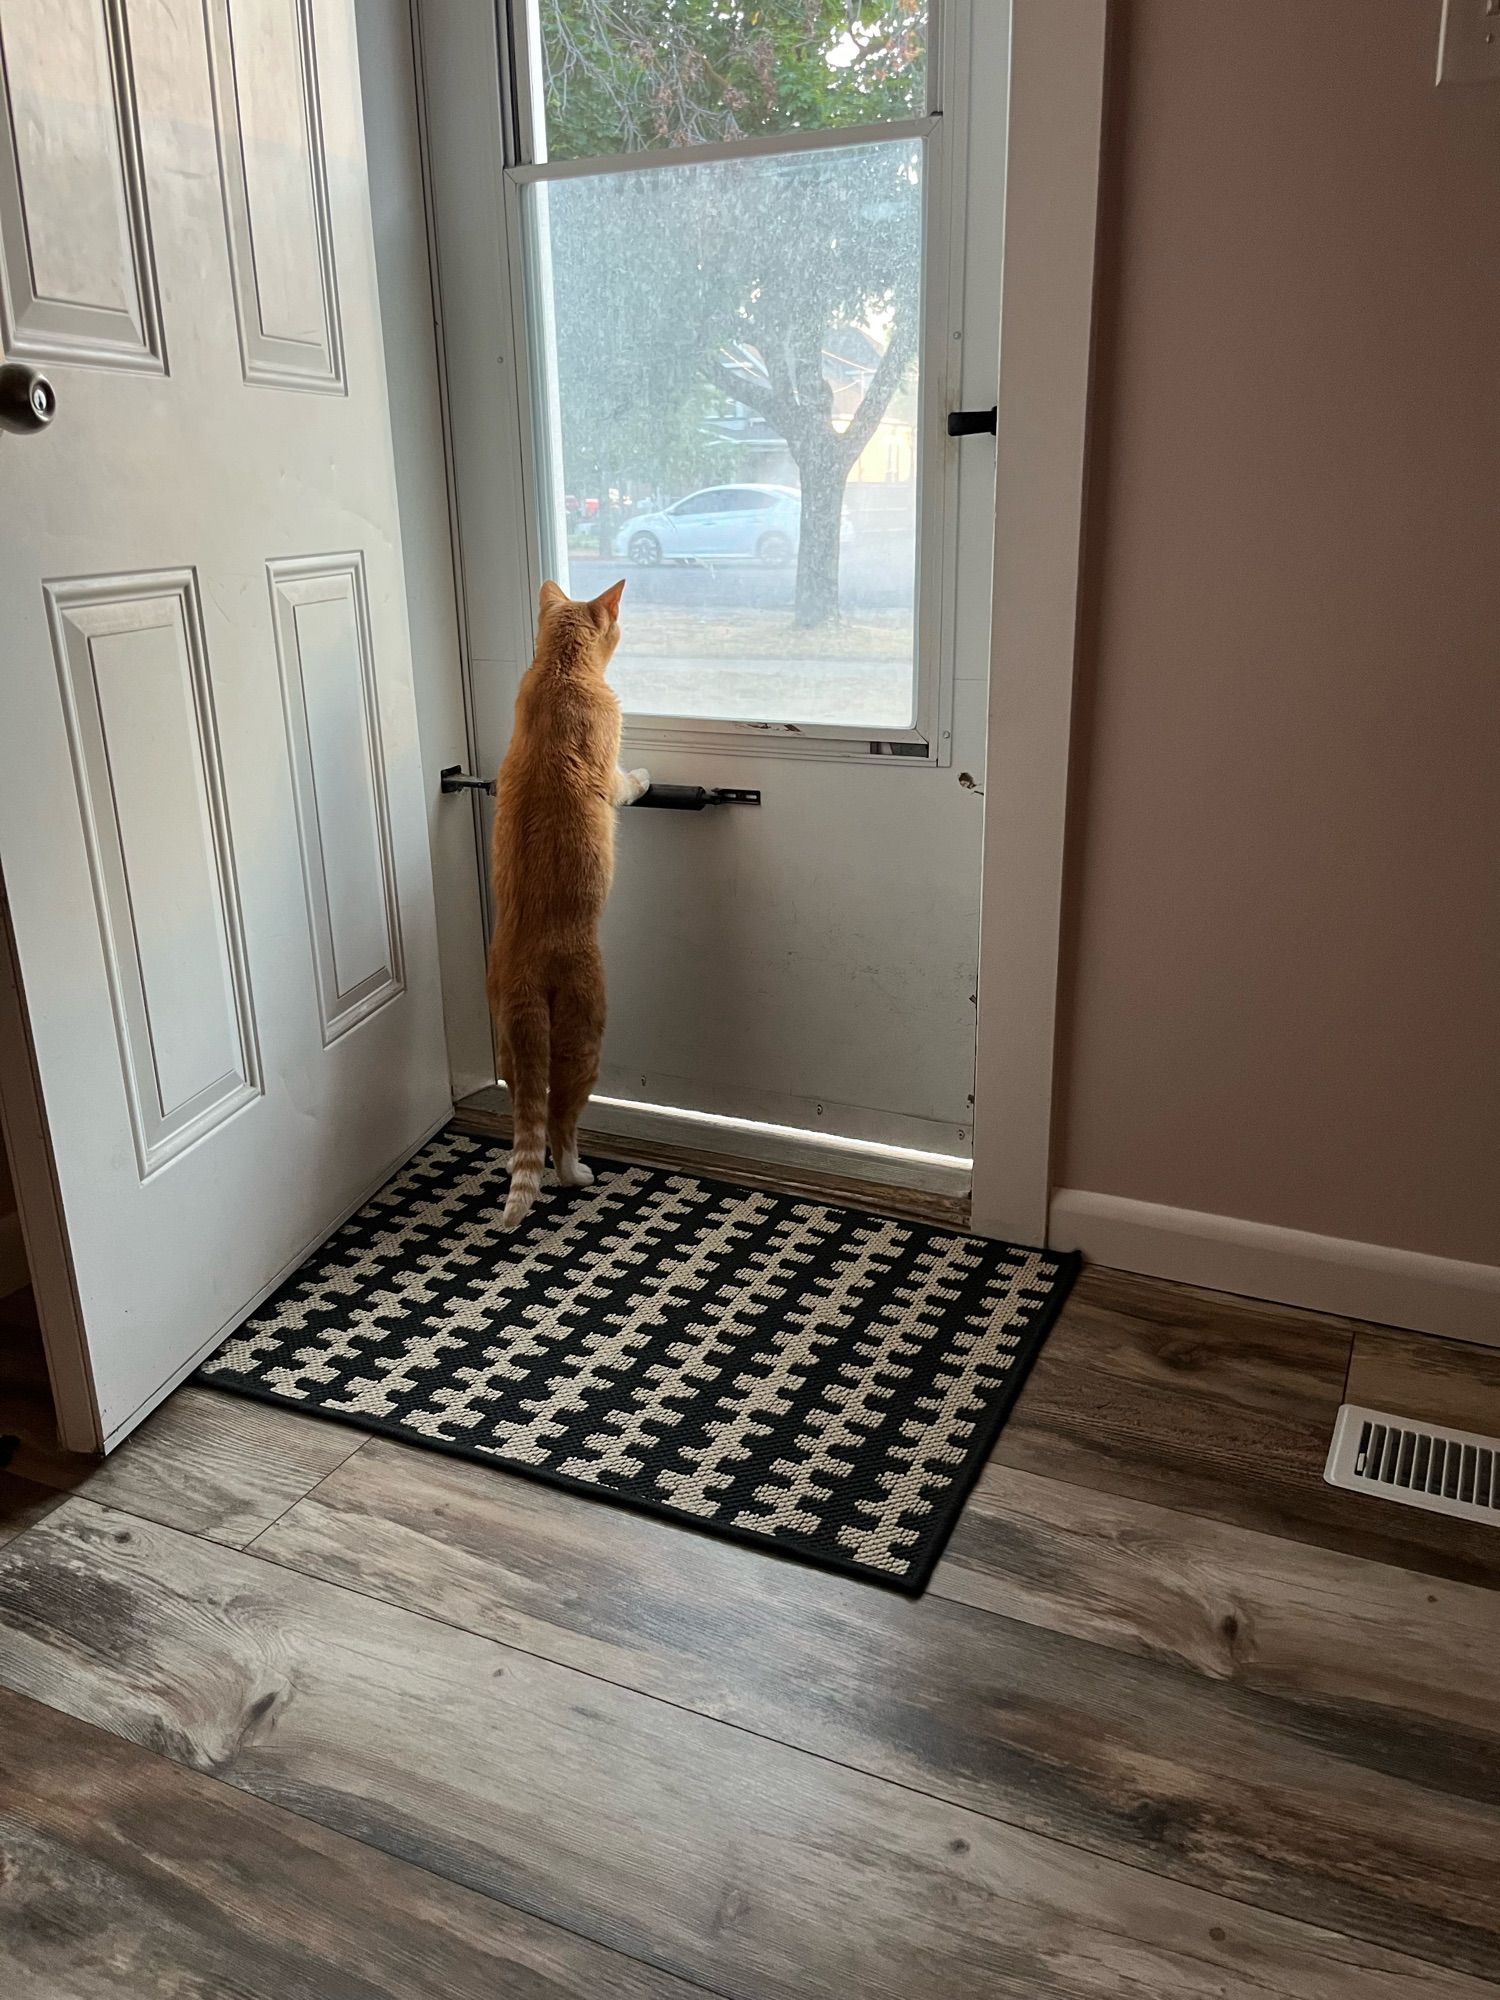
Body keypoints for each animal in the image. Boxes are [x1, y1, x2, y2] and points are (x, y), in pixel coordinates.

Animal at [482, 580, 648, 1224]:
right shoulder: (609, 761)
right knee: (557, 1121)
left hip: (508, 1043)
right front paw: (645, 778)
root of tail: (524, 970)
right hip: (585, 1034)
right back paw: (576, 1173)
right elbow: (626, 782)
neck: (559, 671)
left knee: (524, 1111)